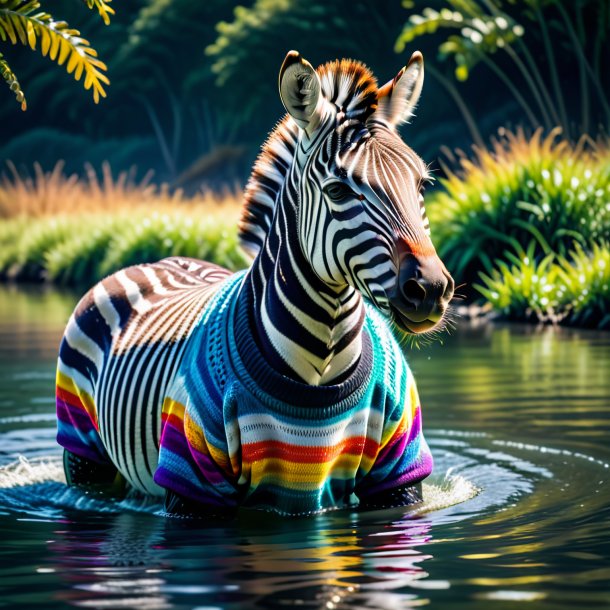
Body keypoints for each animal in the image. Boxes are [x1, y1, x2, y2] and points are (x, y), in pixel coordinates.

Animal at [55, 51, 452, 512]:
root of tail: (159, 260)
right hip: (84, 451)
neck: (321, 368)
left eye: (421, 184)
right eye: (337, 191)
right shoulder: (192, 479)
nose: (429, 289)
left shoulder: (397, 475)